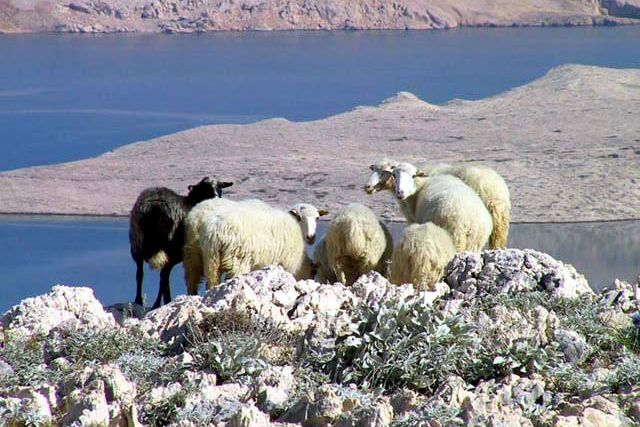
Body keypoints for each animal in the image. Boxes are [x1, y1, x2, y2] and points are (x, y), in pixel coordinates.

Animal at [129, 176, 233, 308]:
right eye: (205, 187)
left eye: (219, 187)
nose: (215, 197)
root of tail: (154, 207)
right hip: (171, 249)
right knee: (163, 276)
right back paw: (160, 303)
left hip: (136, 242)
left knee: (140, 274)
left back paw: (139, 301)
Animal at [183, 198, 328, 293]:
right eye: (300, 217)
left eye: (317, 218)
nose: (311, 237)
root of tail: (214, 230)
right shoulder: (287, 264)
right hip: (237, 261)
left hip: (203, 258)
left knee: (198, 281)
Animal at [365, 159, 510, 248]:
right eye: (374, 169)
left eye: (385, 171)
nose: (367, 187)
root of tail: (495, 189)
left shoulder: (414, 218)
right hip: (500, 221)